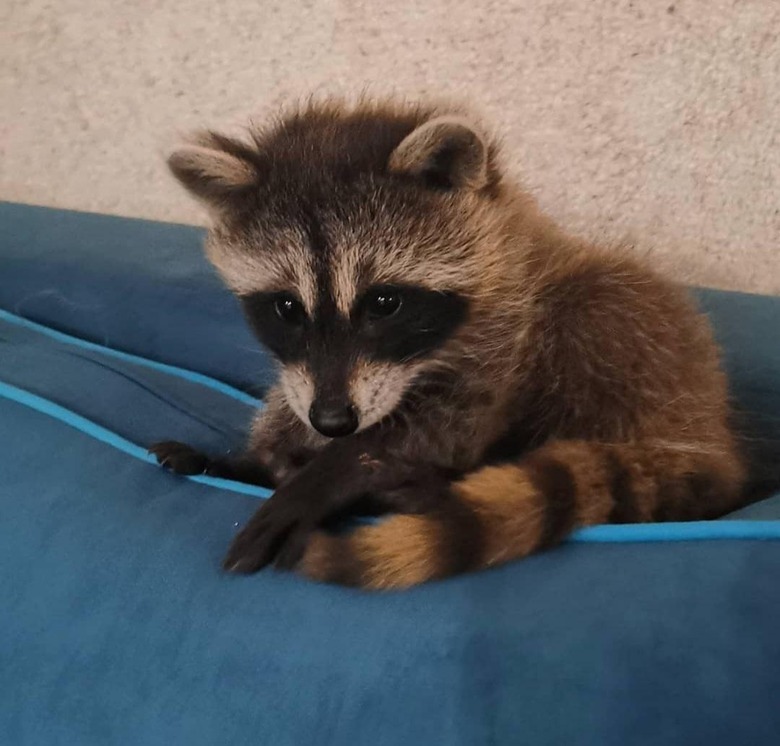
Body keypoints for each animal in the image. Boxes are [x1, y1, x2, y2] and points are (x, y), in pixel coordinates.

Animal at [151, 97, 744, 588]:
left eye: (384, 303)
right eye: (287, 308)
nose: (333, 422)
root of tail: (711, 437)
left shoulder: (510, 323)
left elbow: (451, 424)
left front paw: (334, 471)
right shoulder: (311, 378)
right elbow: (290, 404)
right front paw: (259, 458)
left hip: (637, 344)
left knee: (599, 305)